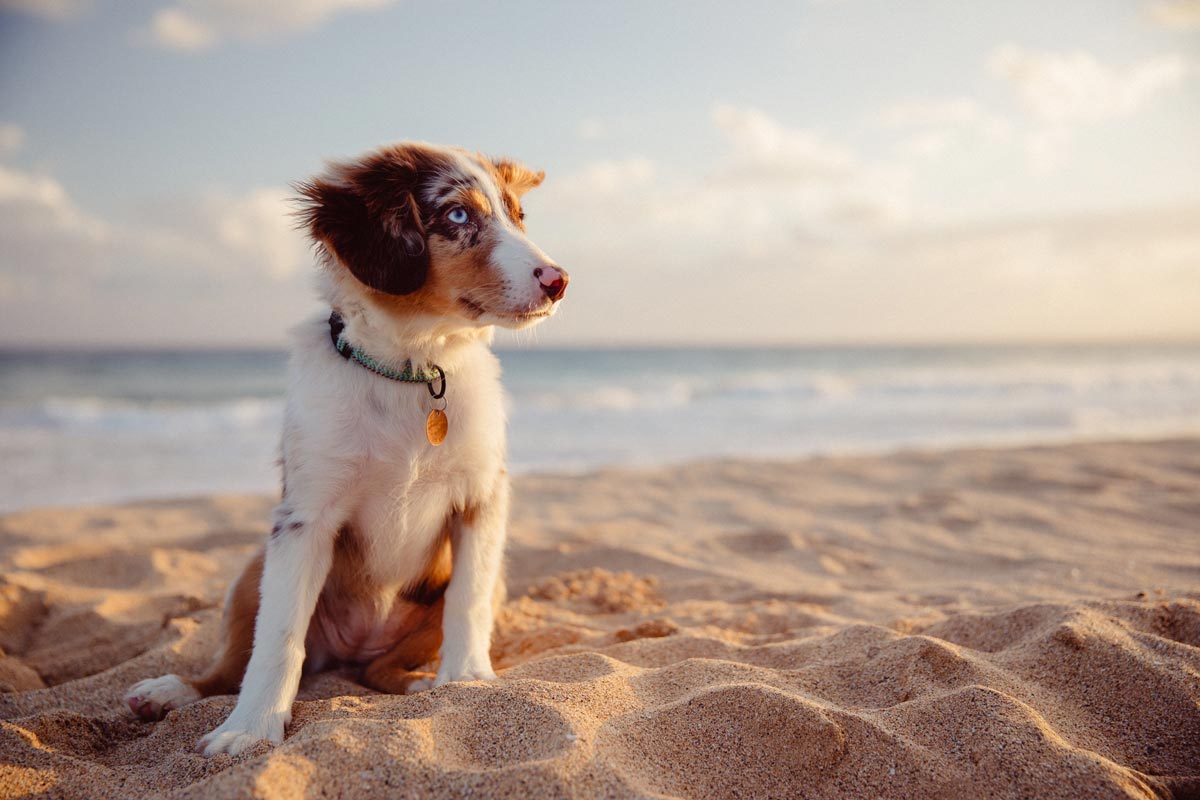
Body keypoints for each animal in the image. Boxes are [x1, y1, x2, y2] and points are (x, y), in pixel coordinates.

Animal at [121, 139, 566, 758]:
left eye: (519, 216)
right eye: (458, 215)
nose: (558, 280)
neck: (412, 370)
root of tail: (355, 647)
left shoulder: (482, 498)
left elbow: (468, 598)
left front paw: (468, 679)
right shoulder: (306, 516)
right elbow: (278, 637)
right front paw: (250, 728)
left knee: (380, 671)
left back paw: (421, 683)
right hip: (250, 573)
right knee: (230, 665)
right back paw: (171, 691)